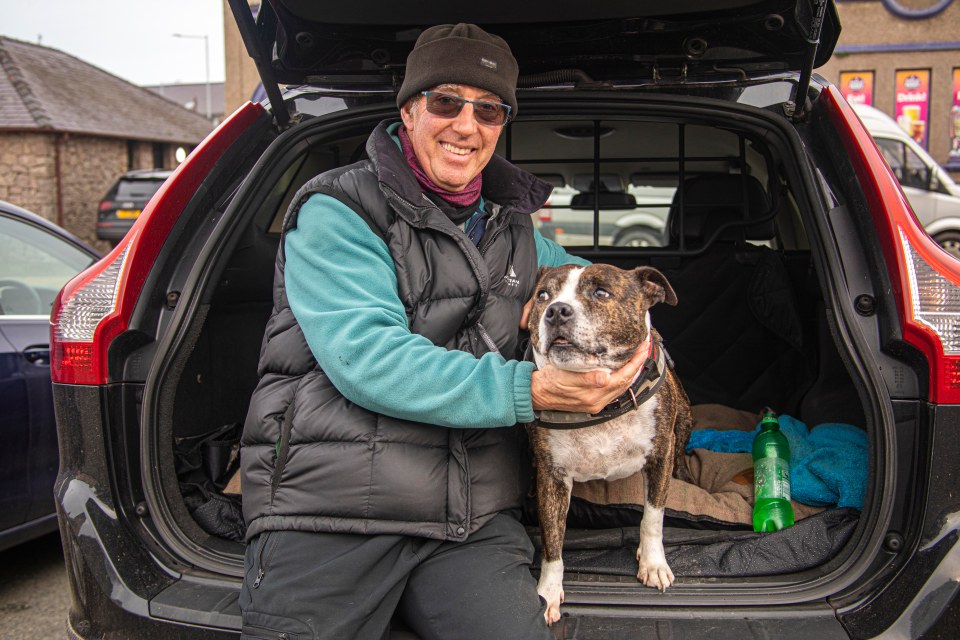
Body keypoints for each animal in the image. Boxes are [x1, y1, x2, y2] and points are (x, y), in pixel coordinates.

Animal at [524, 262, 688, 624]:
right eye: (543, 295)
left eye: (601, 293)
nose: (557, 310)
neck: (603, 409)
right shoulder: (552, 478)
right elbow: (553, 540)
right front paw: (548, 591)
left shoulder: (660, 456)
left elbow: (653, 517)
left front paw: (653, 563)